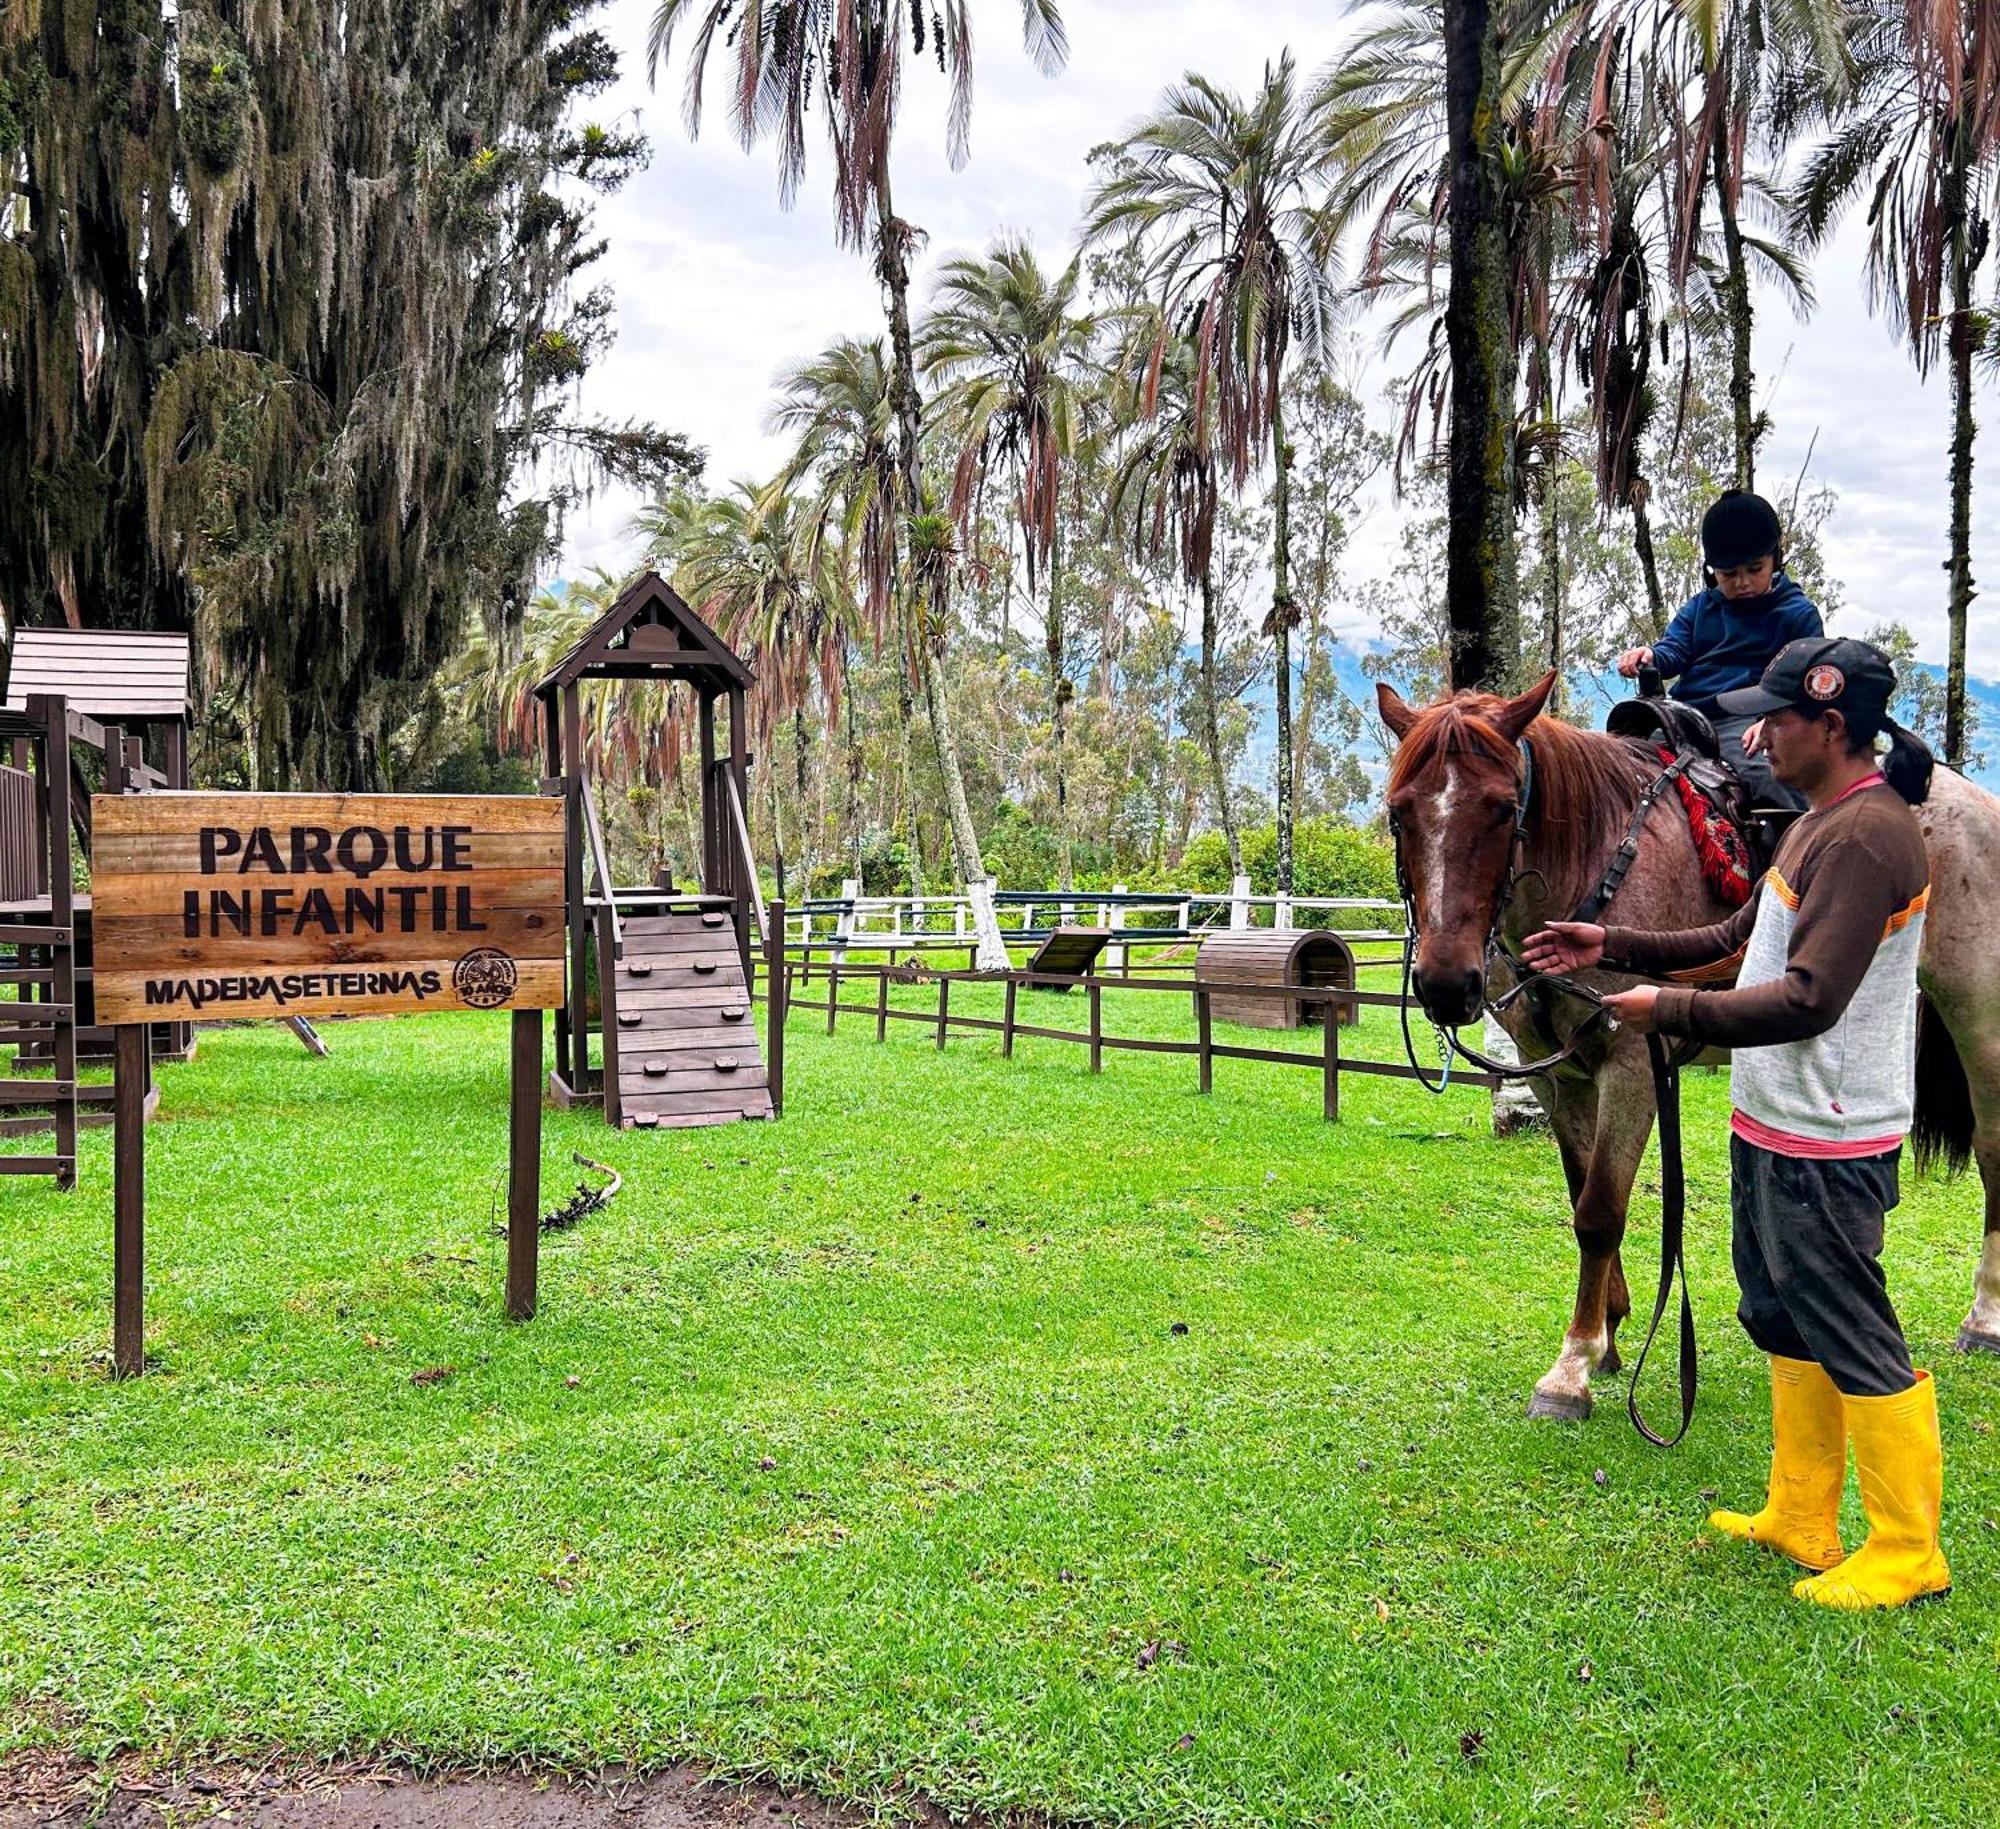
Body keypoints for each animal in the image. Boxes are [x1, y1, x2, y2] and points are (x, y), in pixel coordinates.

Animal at [1376, 668, 2000, 1408]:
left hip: (1980, 1015)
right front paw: (1609, 1331)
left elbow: (1600, 1209)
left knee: (1994, 1152)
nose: (1446, 983)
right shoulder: (1554, 1071)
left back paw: (1985, 1317)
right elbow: (1581, 1188)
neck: (1594, 859)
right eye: (1398, 812)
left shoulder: (1631, 1066)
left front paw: (1573, 1365)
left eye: (1503, 808)